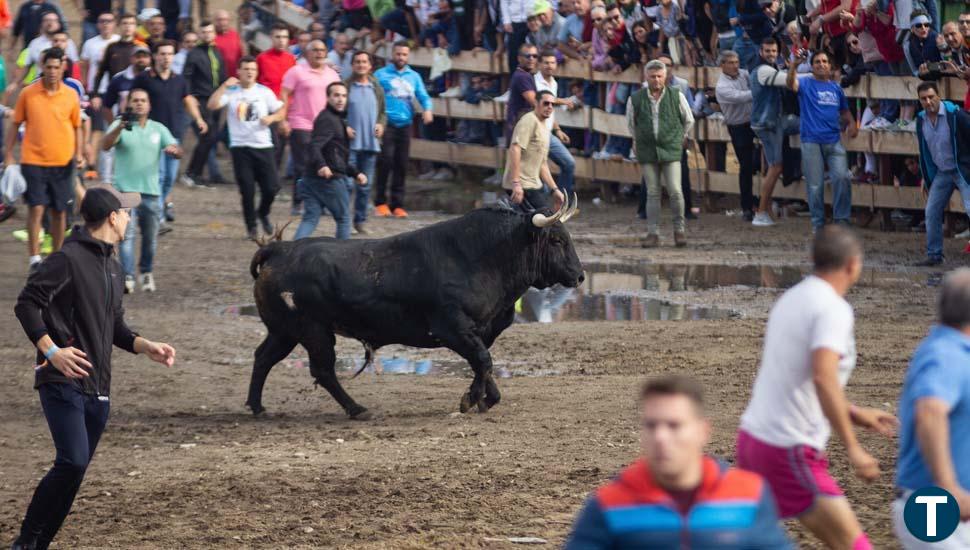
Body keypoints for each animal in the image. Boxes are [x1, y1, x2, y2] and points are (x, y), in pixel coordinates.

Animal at [246, 204, 588, 422]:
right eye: (557, 240)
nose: (580, 275)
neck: (481, 258)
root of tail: (279, 250)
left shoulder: (477, 331)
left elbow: (483, 364)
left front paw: (485, 399)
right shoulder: (453, 329)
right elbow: (483, 361)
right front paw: (471, 400)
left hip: (284, 331)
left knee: (264, 357)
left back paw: (257, 406)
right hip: (313, 331)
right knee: (323, 370)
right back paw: (357, 409)